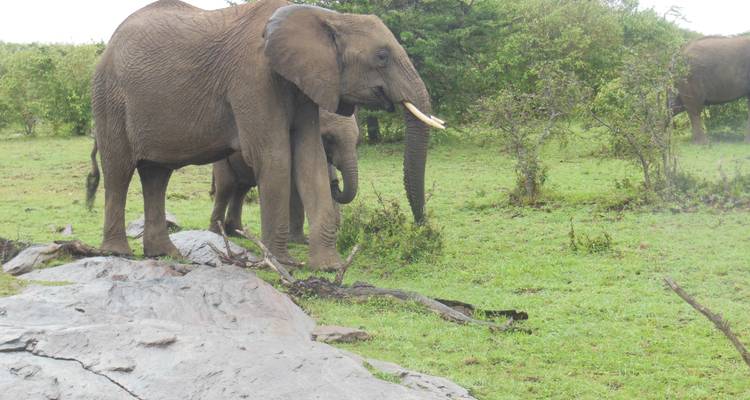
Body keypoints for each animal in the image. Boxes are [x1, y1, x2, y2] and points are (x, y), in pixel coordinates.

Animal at [209, 109, 359, 245]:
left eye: (358, 138)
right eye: (329, 138)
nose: (336, 183)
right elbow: (294, 186)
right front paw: (301, 241)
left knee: (242, 188)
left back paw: (238, 233)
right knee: (227, 186)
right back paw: (216, 233)